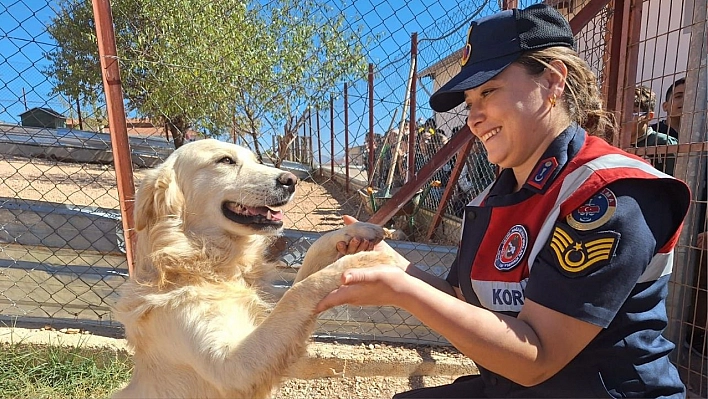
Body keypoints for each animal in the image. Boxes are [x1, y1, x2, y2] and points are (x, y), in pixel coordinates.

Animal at [113, 139, 396, 398]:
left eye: (254, 160)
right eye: (226, 160)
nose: (291, 180)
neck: (212, 264)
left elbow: (307, 267)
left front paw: (355, 232)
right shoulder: (232, 368)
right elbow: (298, 292)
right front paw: (355, 263)